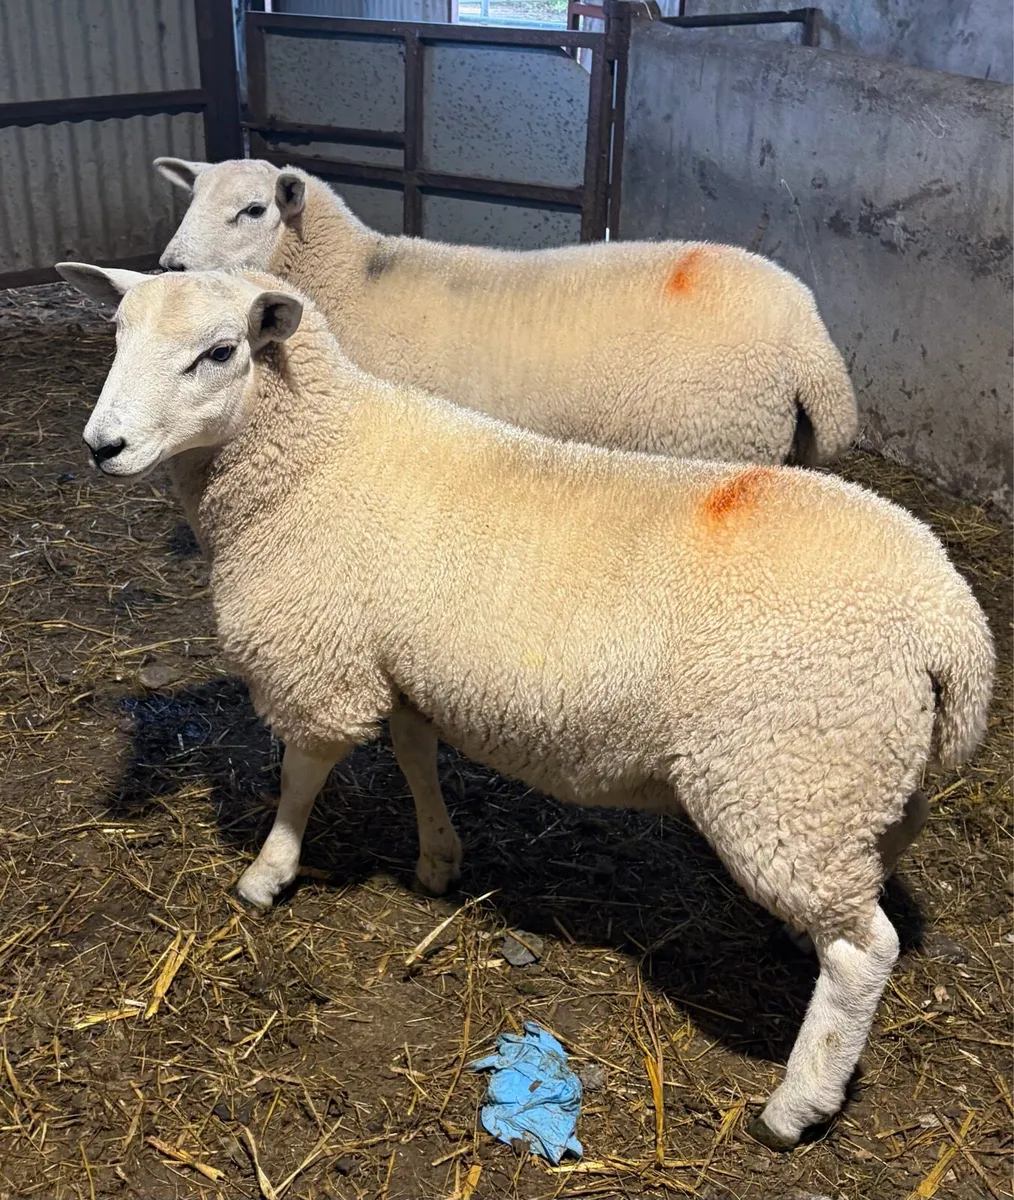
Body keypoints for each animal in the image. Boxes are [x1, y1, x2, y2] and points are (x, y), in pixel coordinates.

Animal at [56, 260, 993, 1152]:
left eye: (220, 352)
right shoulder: (404, 664)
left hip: (784, 773)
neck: (316, 458)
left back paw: (796, 1106)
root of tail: (952, 624)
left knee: (865, 952)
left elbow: (301, 774)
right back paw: (803, 949)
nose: (104, 445)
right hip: (852, 773)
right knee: (880, 862)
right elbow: (415, 757)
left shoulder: (319, 658)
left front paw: (266, 874)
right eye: (117, 332)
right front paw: (438, 860)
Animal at [153, 156, 858, 468]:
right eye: (192, 197)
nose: (171, 267)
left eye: (254, 210)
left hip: (713, 438)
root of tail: (811, 338)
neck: (350, 279)